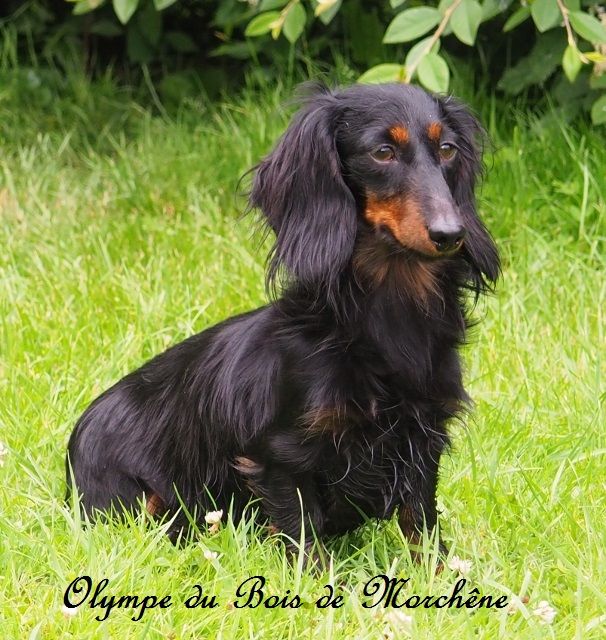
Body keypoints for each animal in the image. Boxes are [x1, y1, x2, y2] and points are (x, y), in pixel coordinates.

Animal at [66, 82, 499, 559]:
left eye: (447, 149)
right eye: (383, 151)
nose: (450, 234)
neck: (388, 317)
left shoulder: (422, 440)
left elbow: (421, 526)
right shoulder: (280, 457)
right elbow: (305, 538)